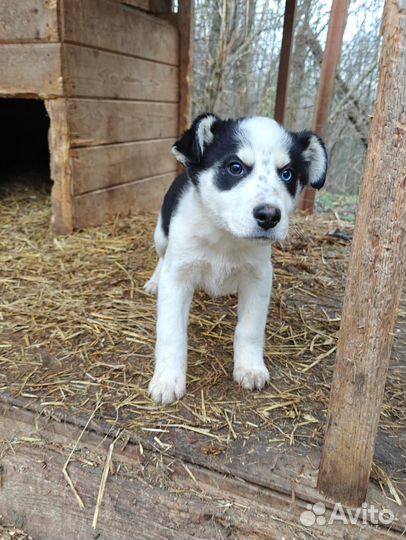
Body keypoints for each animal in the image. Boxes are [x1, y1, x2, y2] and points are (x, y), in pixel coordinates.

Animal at [144, 115, 328, 404]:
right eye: (235, 167)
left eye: (287, 174)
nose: (269, 216)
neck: (225, 235)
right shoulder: (178, 277)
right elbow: (171, 333)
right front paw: (167, 380)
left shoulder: (259, 277)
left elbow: (250, 328)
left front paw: (250, 368)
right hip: (161, 234)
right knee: (162, 256)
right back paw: (154, 282)